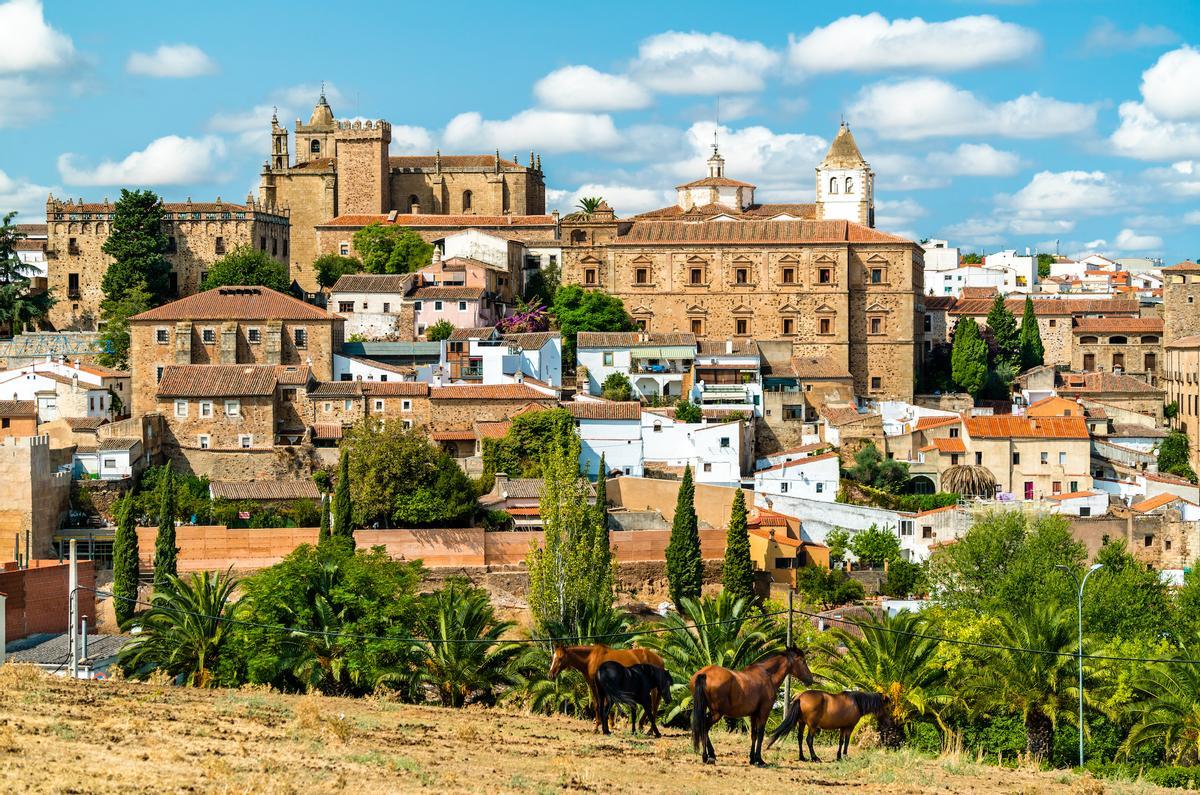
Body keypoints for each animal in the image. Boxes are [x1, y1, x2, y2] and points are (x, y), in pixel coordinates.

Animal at [686, 653, 816, 768]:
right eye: (802, 661)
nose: (810, 679)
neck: (767, 675)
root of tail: (704, 673)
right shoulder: (763, 713)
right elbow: (760, 734)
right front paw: (760, 759)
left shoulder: (753, 715)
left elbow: (753, 735)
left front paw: (752, 759)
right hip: (717, 713)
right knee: (704, 726)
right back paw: (707, 756)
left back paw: (709, 756)